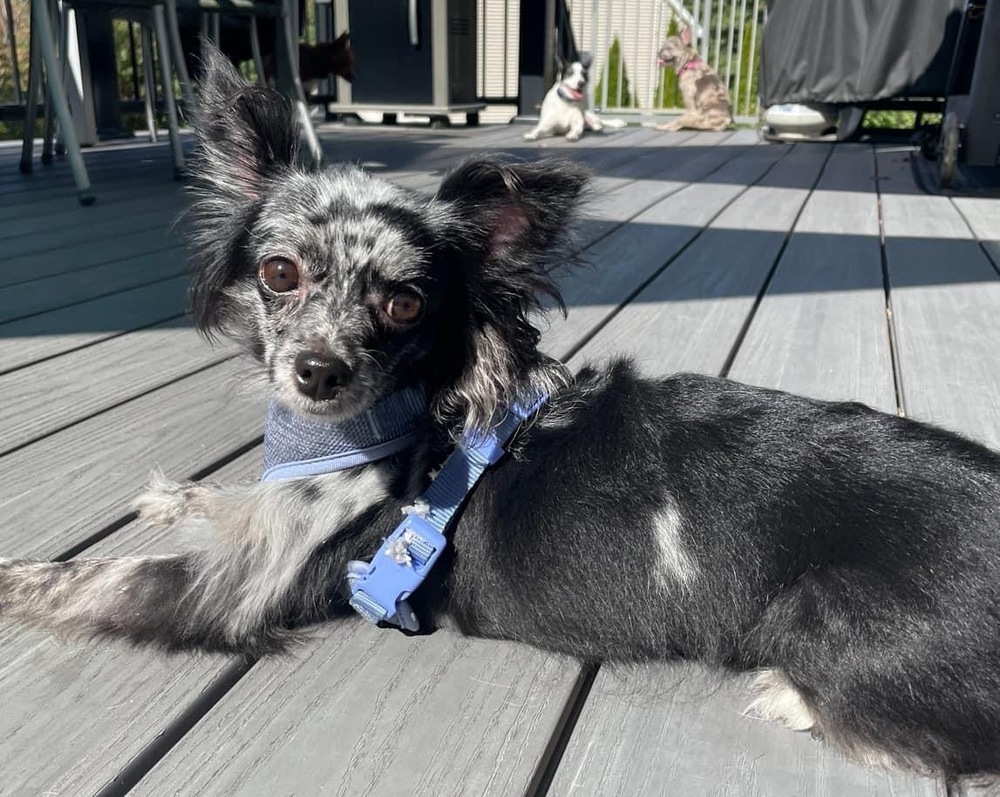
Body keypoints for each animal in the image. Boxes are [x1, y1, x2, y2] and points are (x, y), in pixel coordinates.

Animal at [5, 45, 1000, 796]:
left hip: (822, 613)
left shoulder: (243, 586)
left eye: (405, 303)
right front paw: (174, 494)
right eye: (279, 273)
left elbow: (103, 580)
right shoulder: (267, 519)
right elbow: (227, 500)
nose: (319, 370)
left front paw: (18, 578)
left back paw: (789, 694)